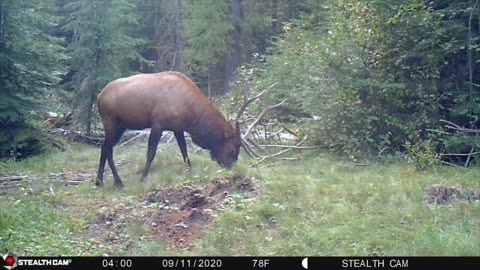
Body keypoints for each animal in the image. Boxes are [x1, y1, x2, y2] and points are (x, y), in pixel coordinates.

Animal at [95, 73, 242, 189]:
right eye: (232, 150)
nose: (231, 167)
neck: (191, 114)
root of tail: (99, 97)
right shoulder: (158, 124)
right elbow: (151, 153)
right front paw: (143, 178)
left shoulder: (177, 128)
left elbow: (184, 150)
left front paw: (189, 170)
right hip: (111, 121)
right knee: (108, 148)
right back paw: (118, 182)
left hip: (121, 126)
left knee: (104, 147)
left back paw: (99, 181)